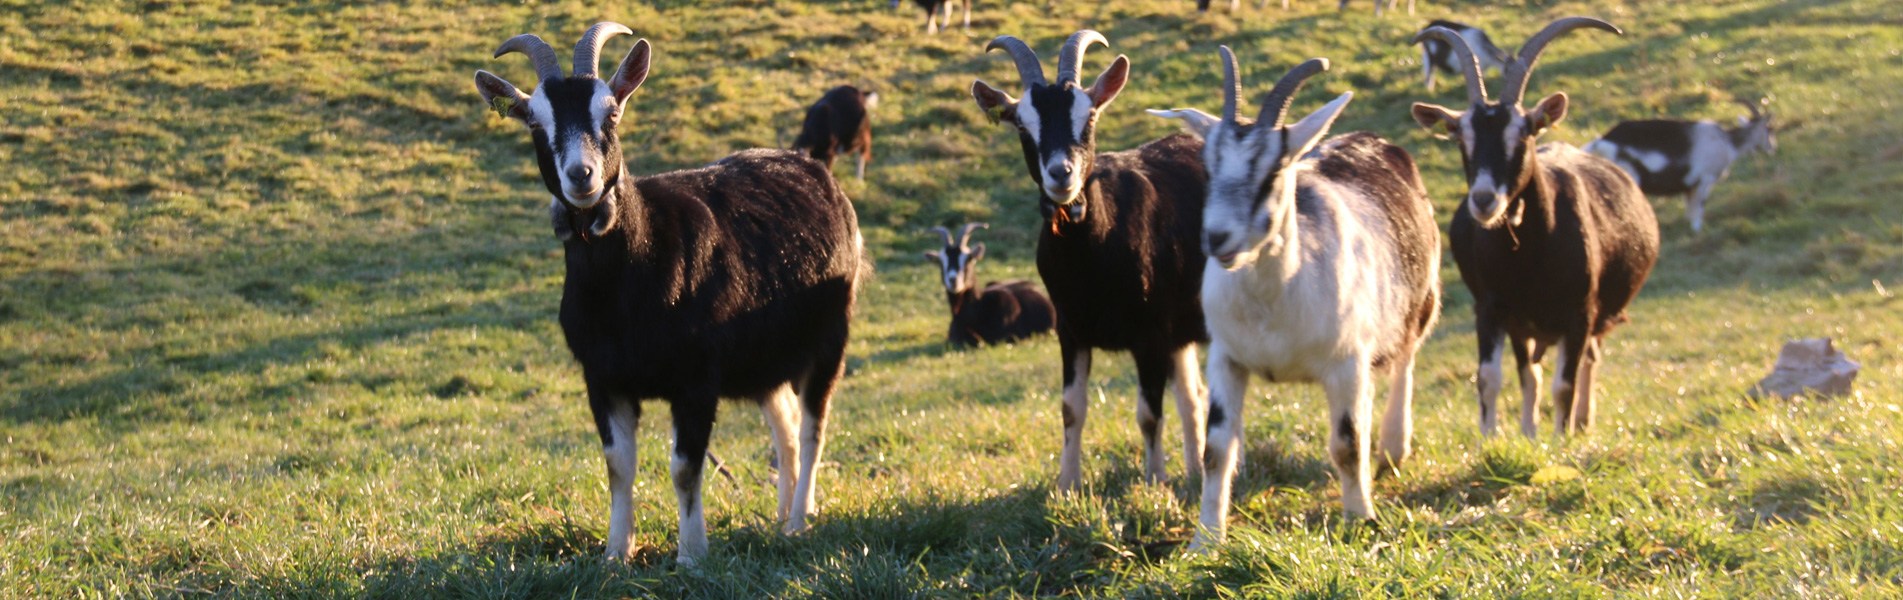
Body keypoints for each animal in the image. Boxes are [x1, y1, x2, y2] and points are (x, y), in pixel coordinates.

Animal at [475, 24, 863, 567]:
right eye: (534, 120)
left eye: (611, 112)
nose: (581, 175)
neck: (628, 280)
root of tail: (817, 173)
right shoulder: (603, 379)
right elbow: (618, 464)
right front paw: (615, 554)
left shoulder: (697, 379)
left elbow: (684, 466)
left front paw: (692, 555)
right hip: (763, 360)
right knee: (784, 427)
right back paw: (782, 518)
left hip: (830, 338)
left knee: (812, 428)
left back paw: (799, 522)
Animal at [1583, 98, 1773, 232]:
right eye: (1769, 129)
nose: (1772, 148)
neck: (1727, 142)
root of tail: (1602, 141)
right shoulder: (1705, 179)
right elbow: (1699, 206)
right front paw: (1697, 229)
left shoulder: (1690, 186)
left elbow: (1690, 207)